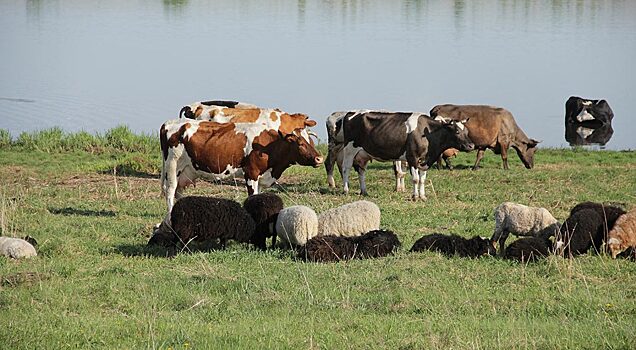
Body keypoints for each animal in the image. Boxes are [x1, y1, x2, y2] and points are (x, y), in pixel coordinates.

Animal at [159, 108, 322, 219]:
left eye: (310, 141)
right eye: (300, 143)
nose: (319, 159)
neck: (269, 146)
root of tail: (168, 123)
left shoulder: (260, 177)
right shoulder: (251, 173)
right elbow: (252, 197)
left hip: (185, 171)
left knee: (178, 191)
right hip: (172, 166)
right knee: (170, 190)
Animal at [340, 110, 474, 201]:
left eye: (466, 131)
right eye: (457, 132)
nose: (471, 145)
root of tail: (350, 113)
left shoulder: (425, 160)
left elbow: (422, 179)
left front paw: (423, 196)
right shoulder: (412, 158)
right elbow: (415, 179)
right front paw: (415, 196)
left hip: (363, 154)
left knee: (361, 171)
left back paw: (364, 192)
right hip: (349, 149)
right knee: (346, 168)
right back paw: (346, 190)